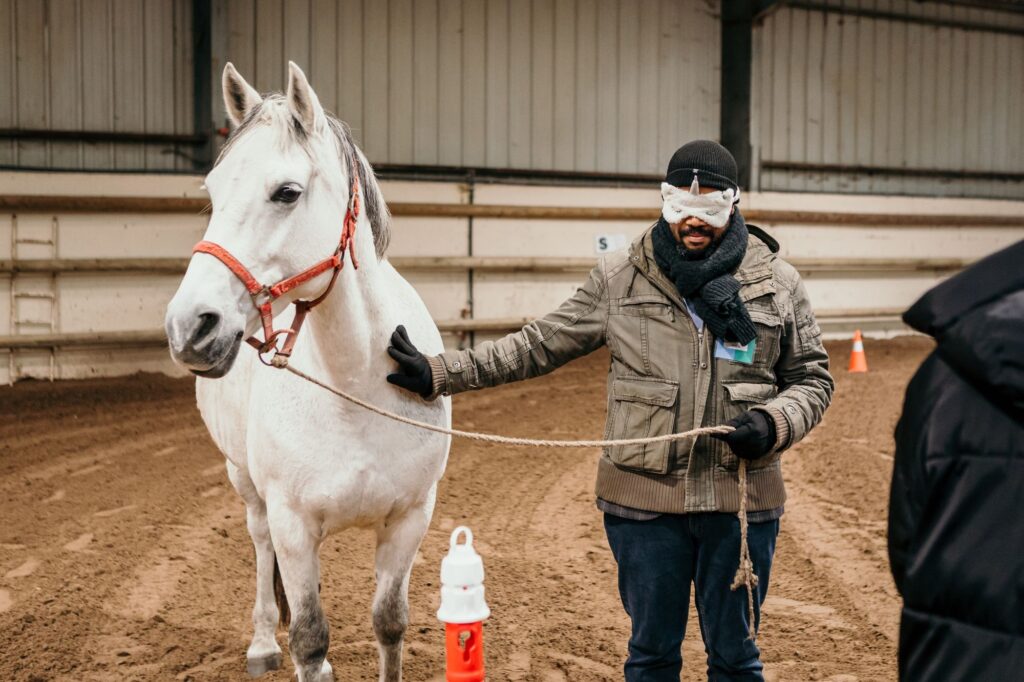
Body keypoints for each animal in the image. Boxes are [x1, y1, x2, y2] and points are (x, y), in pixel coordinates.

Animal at [164, 61, 452, 675]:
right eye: (213, 191)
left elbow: (389, 623)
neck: (355, 387)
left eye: (287, 192)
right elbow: (310, 638)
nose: (189, 326)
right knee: (259, 547)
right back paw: (262, 643)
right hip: (246, 485)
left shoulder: (410, 519)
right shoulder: (292, 525)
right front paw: (289, 645)